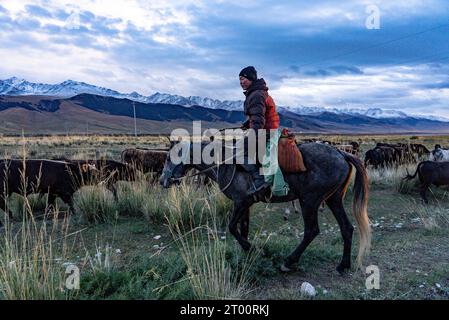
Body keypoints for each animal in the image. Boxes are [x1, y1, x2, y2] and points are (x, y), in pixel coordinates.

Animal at [159, 140, 370, 272]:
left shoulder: (241, 201)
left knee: (312, 230)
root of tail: (341, 153)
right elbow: (243, 228)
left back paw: (288, 262)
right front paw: (246, 254)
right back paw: (343, 265)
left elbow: (232, 227)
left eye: (169, 158)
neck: (224, 163)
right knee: (347, 228)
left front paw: (253, 249)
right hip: (333, 199)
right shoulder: (246, 204)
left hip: (309, 200)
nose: (162, 181)